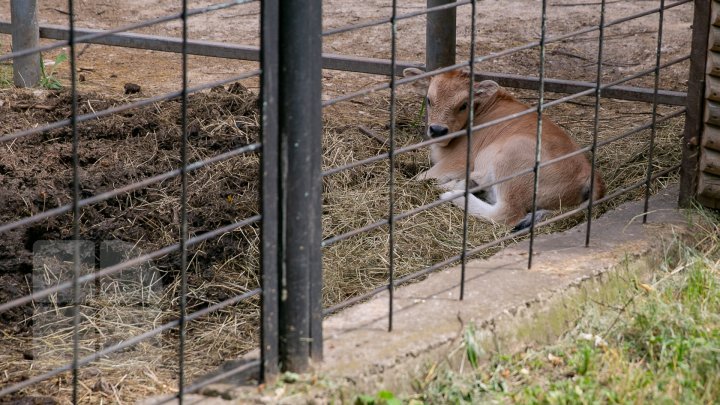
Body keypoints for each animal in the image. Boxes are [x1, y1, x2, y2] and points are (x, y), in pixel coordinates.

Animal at [402, 68, 604, 229]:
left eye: (463, 105)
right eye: (429, 100)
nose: (437, 130)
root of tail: (589, 173)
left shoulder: (457, 161)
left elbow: (420, 178)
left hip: (510, 163)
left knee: (507, 213)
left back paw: (452, 194)